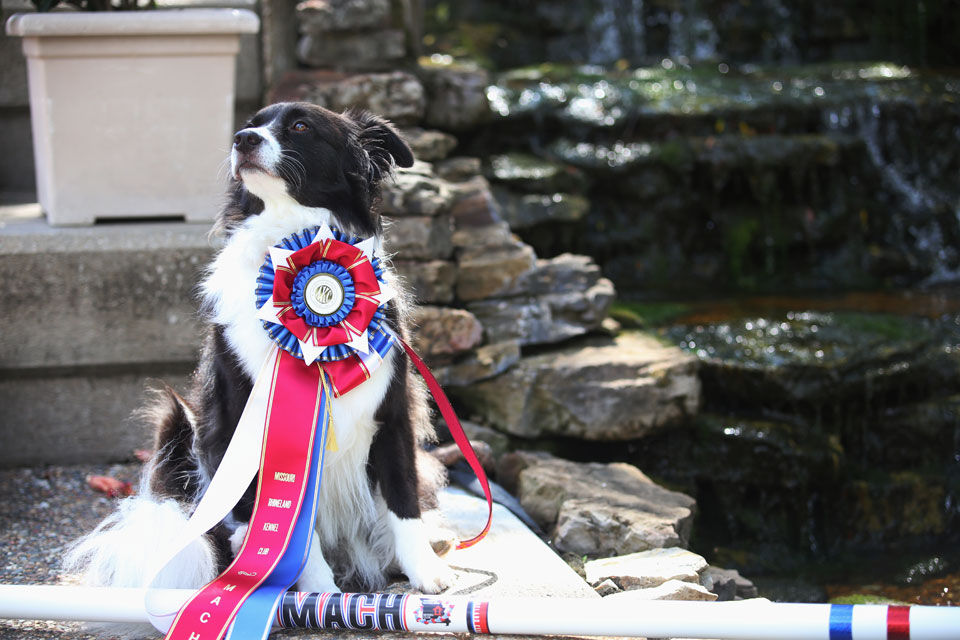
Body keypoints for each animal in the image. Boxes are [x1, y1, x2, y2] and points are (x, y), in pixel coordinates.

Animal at [65, 102, 456, 608]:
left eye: (301, 126)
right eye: (251, 123)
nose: (242, 139)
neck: (294, 237)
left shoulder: (392, 412)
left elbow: (403, 494)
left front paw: (424, 570)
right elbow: (289, 527)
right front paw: (318, 590)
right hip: (189, 435)